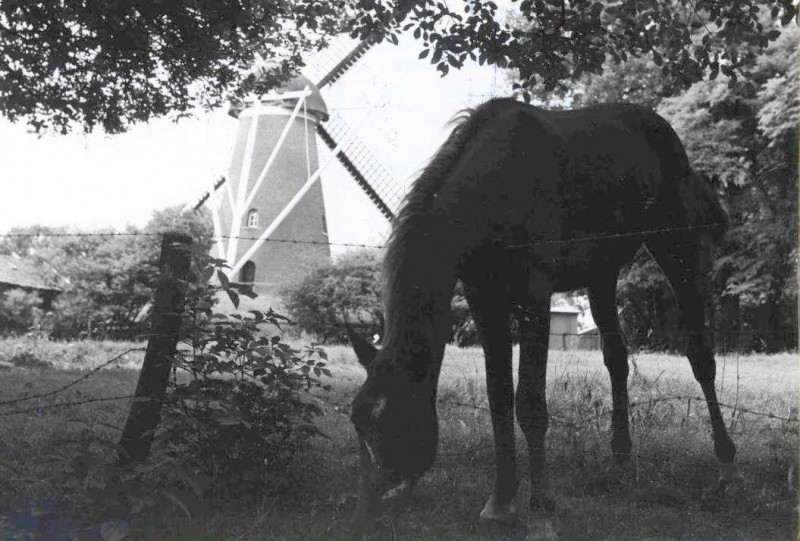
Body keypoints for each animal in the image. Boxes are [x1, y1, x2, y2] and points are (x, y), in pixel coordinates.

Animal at [346, 97, 740, 536]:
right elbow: (499, 397)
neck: (492, 187)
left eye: (388, 423)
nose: (362, 519)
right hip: (601, 273)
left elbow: (530, 402)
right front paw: (500, 502)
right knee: (617, 359)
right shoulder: (485, 301)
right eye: (357, 423)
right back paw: (620, 458)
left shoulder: (533, 296)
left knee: (700, 356)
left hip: (677, 250)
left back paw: (726, 466)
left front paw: (542, 507)